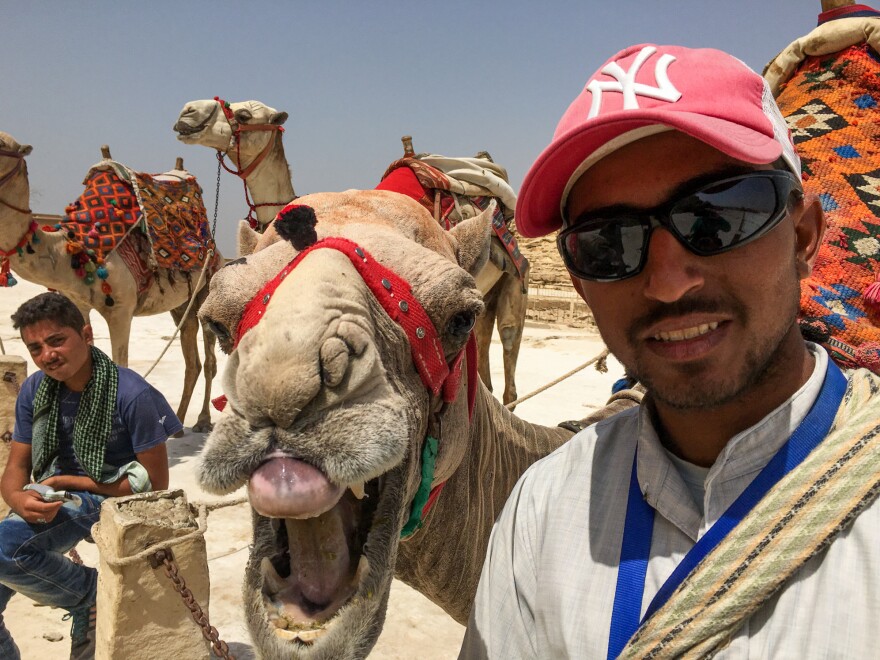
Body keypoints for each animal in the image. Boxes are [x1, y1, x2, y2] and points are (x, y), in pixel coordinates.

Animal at [0, 134, 219, 434]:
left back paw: (202, 420)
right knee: (191, 355)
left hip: (207, 283)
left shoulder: (121, 311)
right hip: (180, 303)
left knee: (208, 359)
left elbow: (120, 364)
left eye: (2, 146)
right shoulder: (79, 305)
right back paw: (178, 423)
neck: (76, 250)